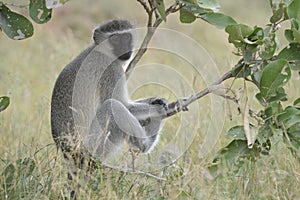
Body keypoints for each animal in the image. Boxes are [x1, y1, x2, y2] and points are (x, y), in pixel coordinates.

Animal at [50, 19, 168, 170]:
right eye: (115, 39)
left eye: (126, 37)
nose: (124, 48)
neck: (101, 50)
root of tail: (69, 152)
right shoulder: (111, 70)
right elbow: (123, 104)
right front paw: (156, 109)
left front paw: (155, 100)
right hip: (94, 144)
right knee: (113, 107)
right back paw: (146, 145)